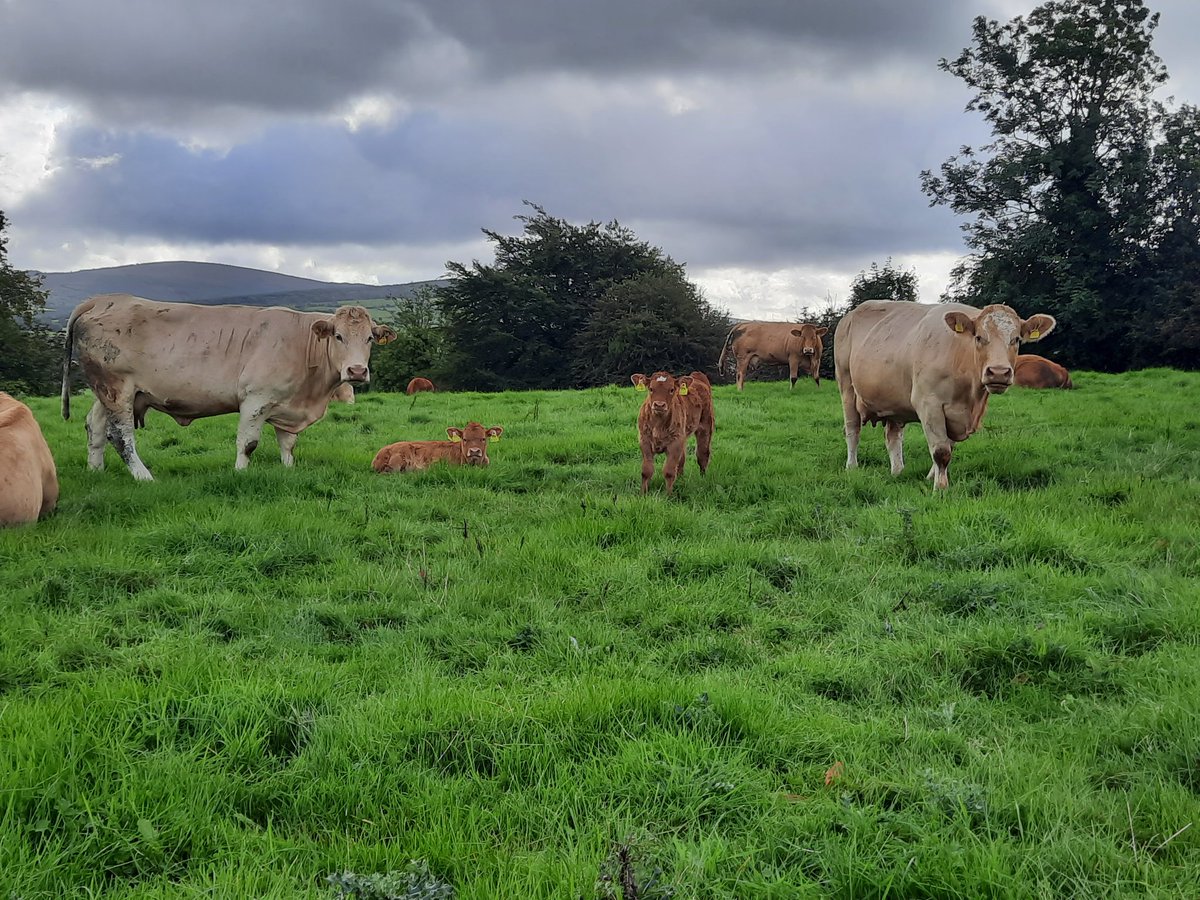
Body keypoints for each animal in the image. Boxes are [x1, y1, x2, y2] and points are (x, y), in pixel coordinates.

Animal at [61, 294, 396, 480]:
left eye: (369, 338)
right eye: (338, 336)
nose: (356, 370)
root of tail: (105, 299)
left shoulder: (287, 405)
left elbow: (287, 444)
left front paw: (289, 470)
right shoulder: (256, 400)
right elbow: (247, 443)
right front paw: (240, 473)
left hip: (109, 392)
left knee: (95, 427)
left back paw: (96, 472)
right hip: (117, 389)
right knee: (121, 437)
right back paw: (144, 477)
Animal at [834, 300, 1056, 490]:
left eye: (1016, 339)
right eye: (978, 337)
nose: (999, 372)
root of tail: (850, 315)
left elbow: (948, 447)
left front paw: (932, 477)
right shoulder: (929, 404)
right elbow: (941, 451)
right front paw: (940, 488)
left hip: (893, 401)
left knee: (893, 436)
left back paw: (898, 471)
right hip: (846, 387)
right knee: (852, 430)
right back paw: (852, 467)